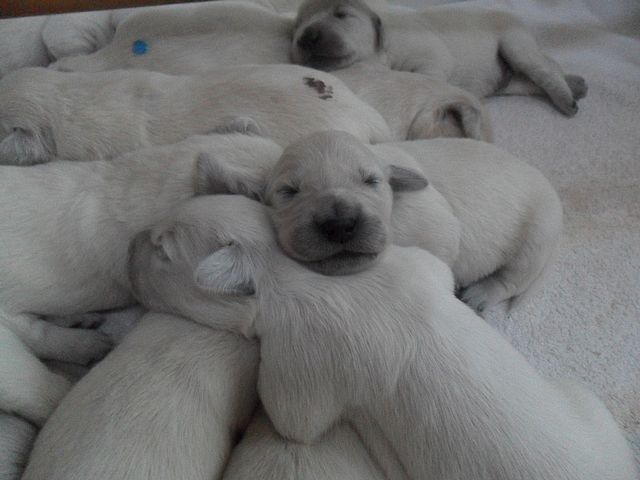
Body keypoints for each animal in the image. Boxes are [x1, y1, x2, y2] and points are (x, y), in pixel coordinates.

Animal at [128, 194, 637, 480]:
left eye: (162, 250)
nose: (127, 247)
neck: (297, 271)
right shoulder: (414, 265)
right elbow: (439, 271)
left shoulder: (301, 360)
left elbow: (293, 419)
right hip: (584, 399)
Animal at [196, 130, 561, 312]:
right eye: (289, 191)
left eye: (371, 181)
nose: (340, 224)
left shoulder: (440, 229)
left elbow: (443, 254)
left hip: (537, 234)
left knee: (512, 278)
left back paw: (480, 295)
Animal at [291, 0, 588, 116]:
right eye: (298, 25)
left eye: (341, 14)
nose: (306, 37)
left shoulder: (430, 57)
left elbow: (422, 78)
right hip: (512, 78)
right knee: (535, 78)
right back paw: (576, 86)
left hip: (515, 44)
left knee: (544, 70)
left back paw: (568, 99)